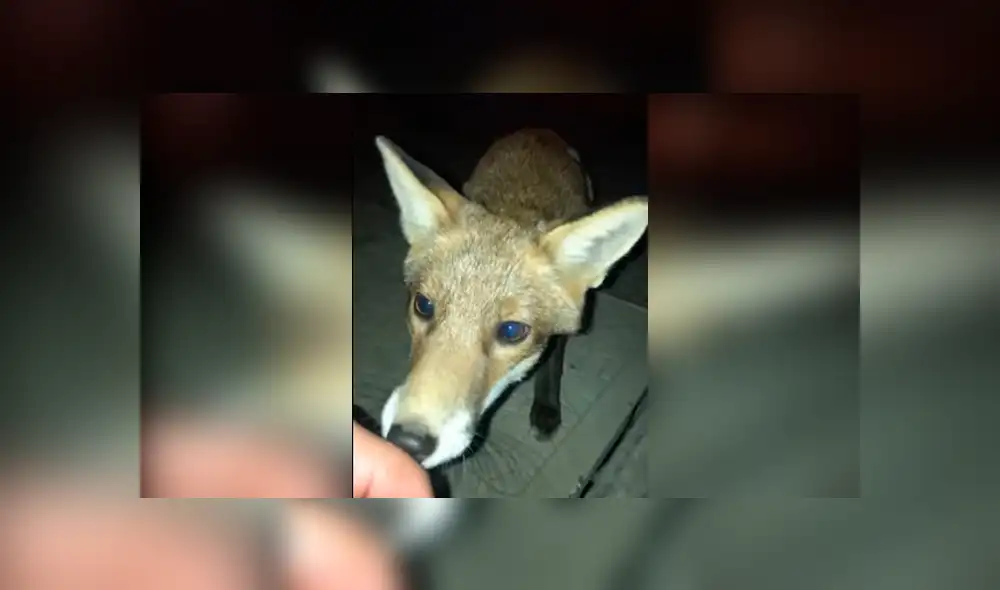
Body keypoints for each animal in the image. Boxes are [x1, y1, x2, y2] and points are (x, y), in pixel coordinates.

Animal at [373, 129, 648, 469]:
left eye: (511, 331)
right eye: (424, 306)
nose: (407, 441)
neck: (515, 207)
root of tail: (539, 131)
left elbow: (552, 362)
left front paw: (546, 407)